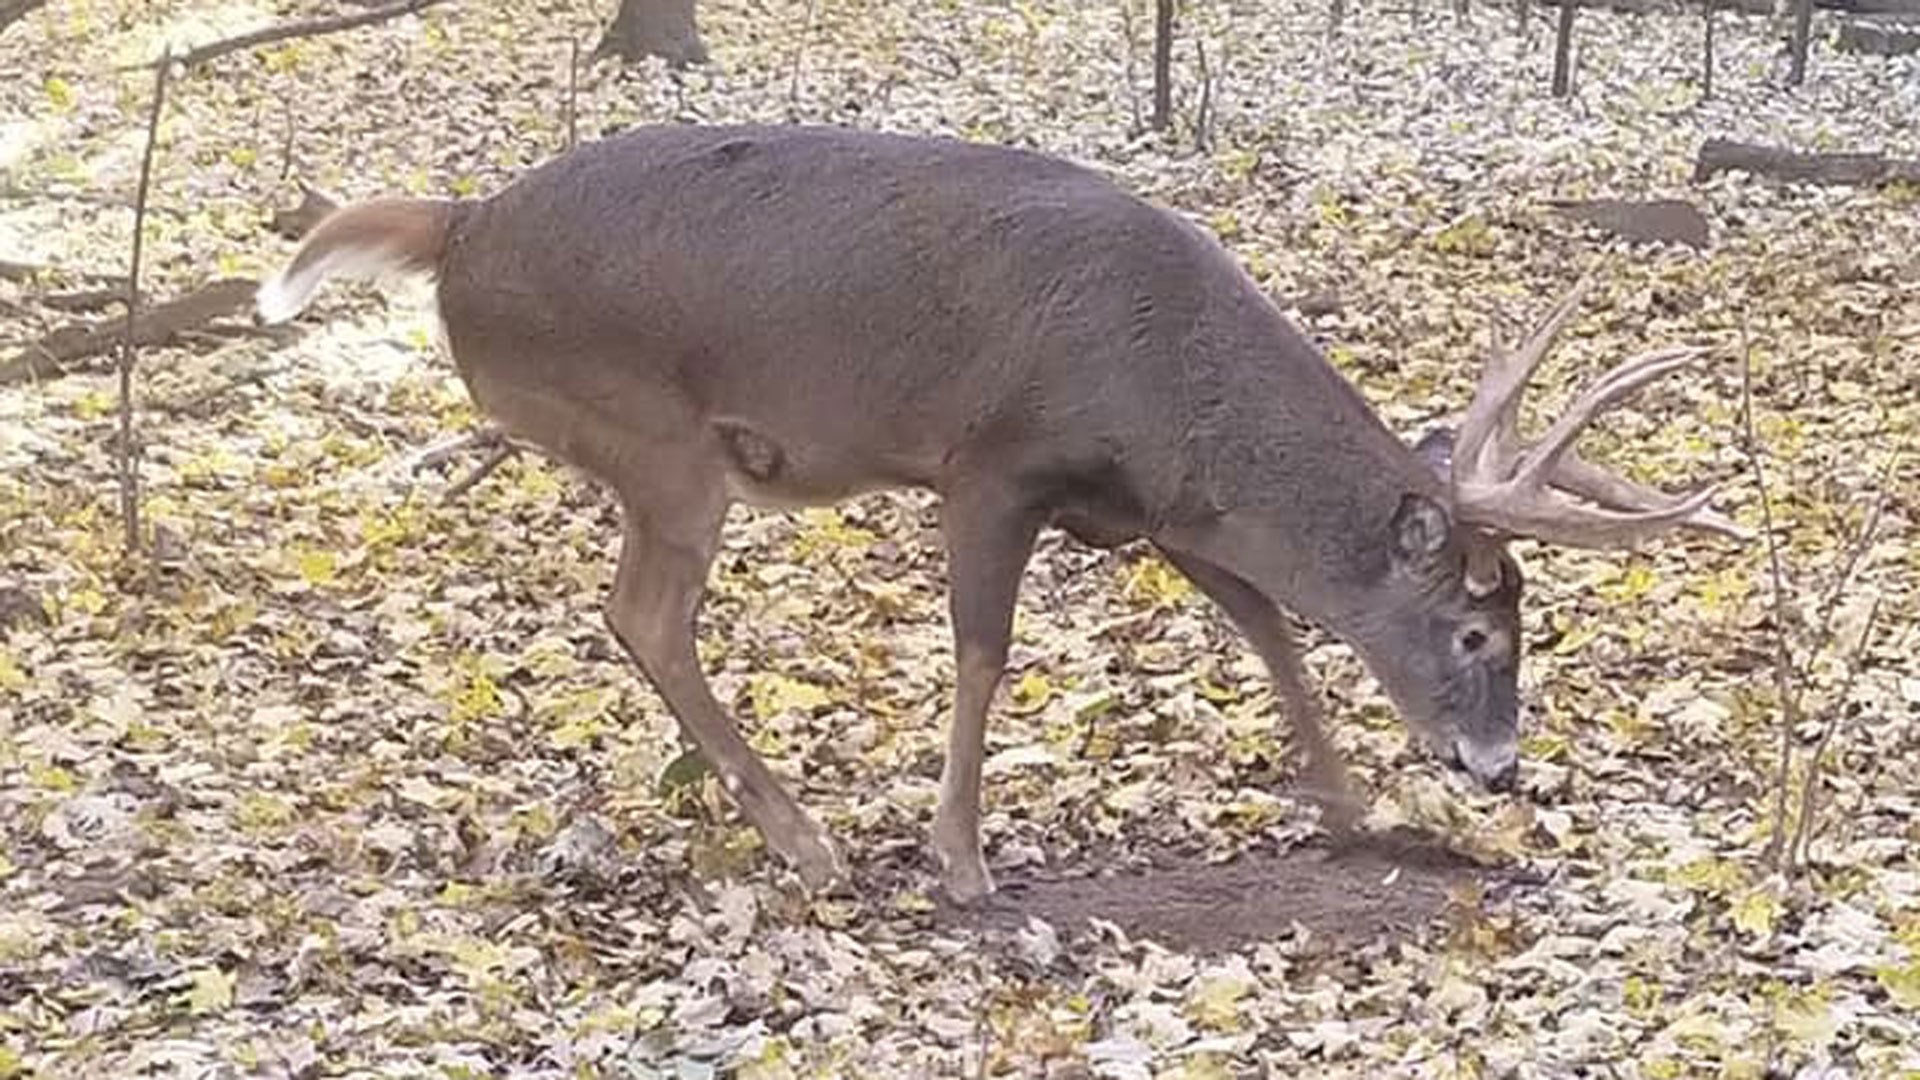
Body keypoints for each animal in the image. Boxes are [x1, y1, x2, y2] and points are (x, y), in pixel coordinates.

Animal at [247, 123, 1751, 899]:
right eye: (1478, 633)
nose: (1498, 766)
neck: (1171, 383)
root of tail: (454, 232)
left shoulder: (1154, 509)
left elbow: (1268, 623)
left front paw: (1353, 808)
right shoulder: (994, 464)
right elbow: (984, 652)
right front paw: (962, 856)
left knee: (641, 616)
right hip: (661, 440)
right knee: (647, 614)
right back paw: (810, 843)